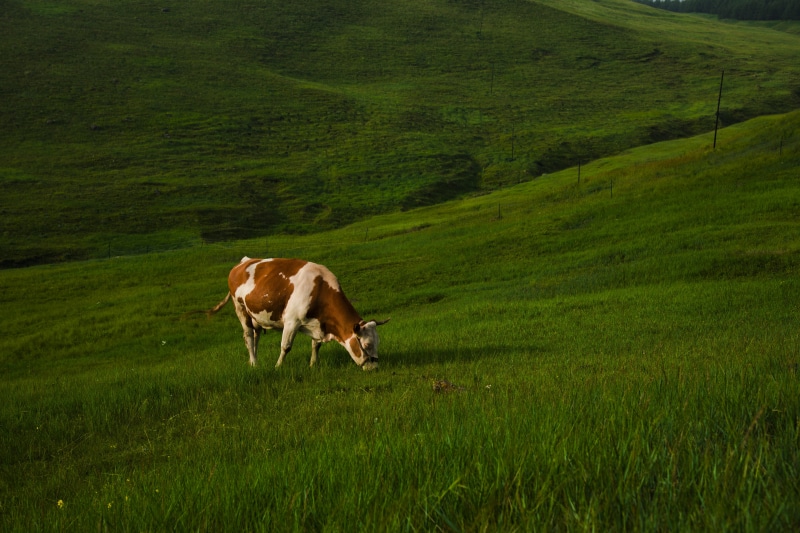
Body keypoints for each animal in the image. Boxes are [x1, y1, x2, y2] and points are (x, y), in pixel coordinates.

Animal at [208, 257, 389, 370]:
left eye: (378, 342)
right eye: (367, 345)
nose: (375, 367)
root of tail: (243, 262)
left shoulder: (318, 323)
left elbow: (316, 345)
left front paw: (313, 365)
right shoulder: (292, 321)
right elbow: (286, 346)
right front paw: (278, 367)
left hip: (255, 315)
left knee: (255, 336)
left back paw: (254, 361)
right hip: (240, 308)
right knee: (248, 336)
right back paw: (254, 363)